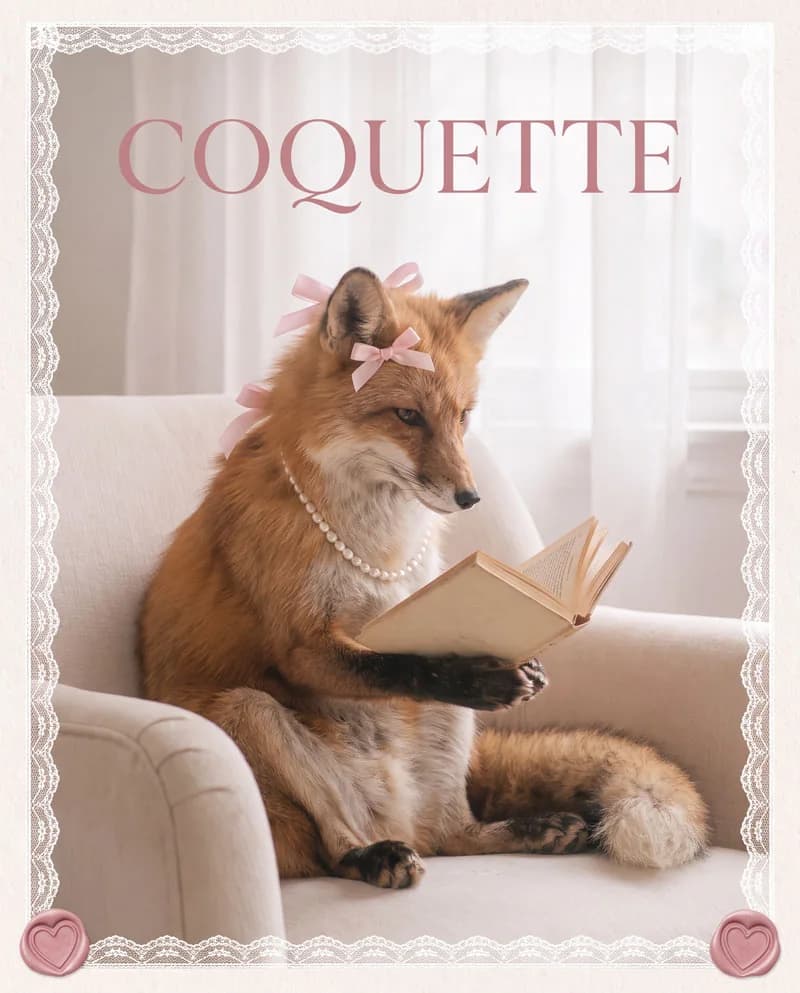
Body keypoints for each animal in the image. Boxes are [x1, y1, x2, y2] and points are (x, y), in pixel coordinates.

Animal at [138, 267, 709, 888]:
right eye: (407, 416)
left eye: (463, 416)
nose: (470, 497)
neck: (374, 543)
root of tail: (389, 813)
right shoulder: (303, 645)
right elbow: (404, 665)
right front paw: (472, 675)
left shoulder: (414, 605)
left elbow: (415, 661)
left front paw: (528, 667)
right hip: (249, 717)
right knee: (338, 842)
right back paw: (373, 856)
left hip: (446, 734)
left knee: (452, 836)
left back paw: (534, 829)